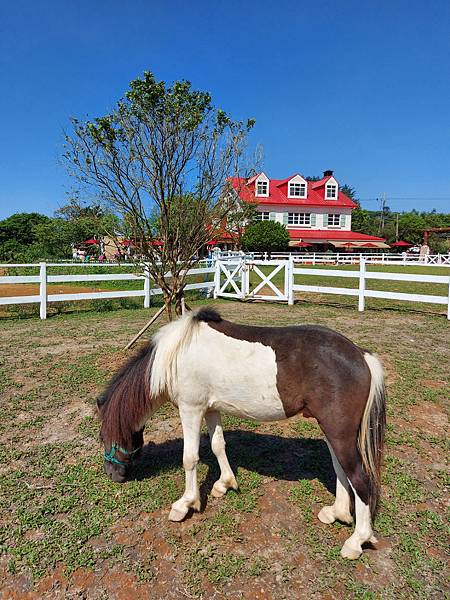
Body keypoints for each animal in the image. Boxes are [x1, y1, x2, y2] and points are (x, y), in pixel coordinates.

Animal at [96, 308, 384, 560]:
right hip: (332, 431)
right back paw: (336, 513)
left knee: (359, 477)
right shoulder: (211, 409)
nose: (112, 474)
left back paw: (356, 541)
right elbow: (217, 445)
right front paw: (224, 484)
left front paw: (186, 503)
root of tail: (361, 356)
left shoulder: (191, 409)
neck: (176, 356)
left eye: (103, 436)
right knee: (340, 469)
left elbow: (190, 458)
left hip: (339, 433)